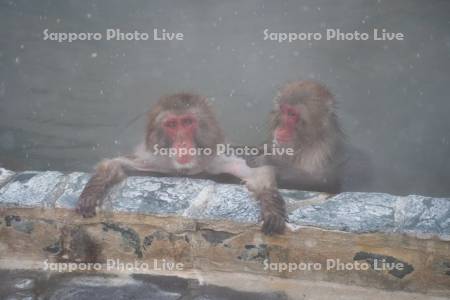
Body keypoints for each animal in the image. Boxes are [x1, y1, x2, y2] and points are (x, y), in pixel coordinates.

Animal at [77, 92, 284, 236]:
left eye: (187, 122)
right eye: (171, 125)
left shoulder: (218, 162)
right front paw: (93, 190)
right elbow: (116, 164)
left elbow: (257, 173)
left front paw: (270, 204)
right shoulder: (154, 163)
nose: (182, 142)